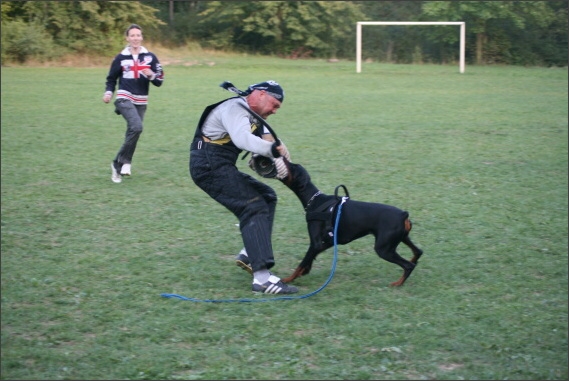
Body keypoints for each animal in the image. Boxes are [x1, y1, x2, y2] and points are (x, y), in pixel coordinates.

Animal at [278, 160, 422, 284]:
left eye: (292, 167)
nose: (283, 158)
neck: (314, 200)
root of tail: (403, 214)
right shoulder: (329, 241)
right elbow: (309, 259)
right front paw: (305, 271)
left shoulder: (316, 243)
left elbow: (302, 262)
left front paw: (288, 279)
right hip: (401, 239)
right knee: (418, 252)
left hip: (383, 249)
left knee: (408, 265)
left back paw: (397, 284)